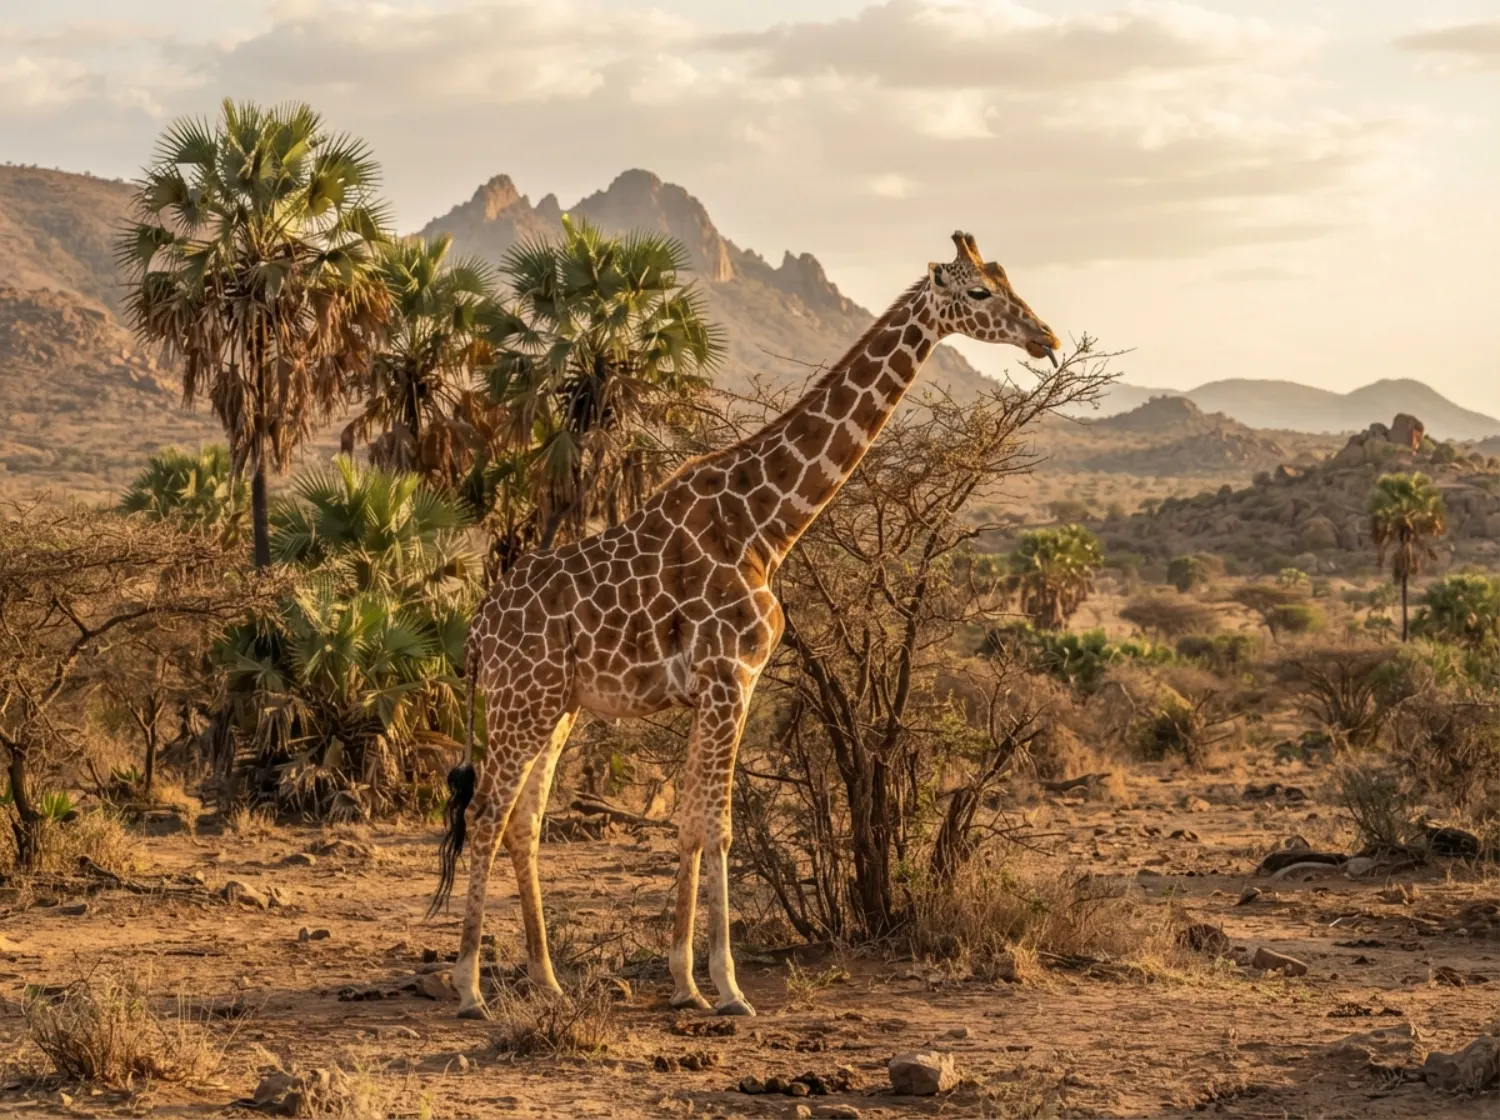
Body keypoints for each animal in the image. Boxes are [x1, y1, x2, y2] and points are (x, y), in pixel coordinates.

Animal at [429, 231, 1060, 1018]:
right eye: (979, 292)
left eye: (1007, 280)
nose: (1047, 338)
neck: (765, 525)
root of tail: (478, 631)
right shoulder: (730, 678)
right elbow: (723, 827)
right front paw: (728, 987)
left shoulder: (725, 686)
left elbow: (693, 822)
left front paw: (684, 983)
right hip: (524, 700)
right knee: (485, 815)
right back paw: (468, 988)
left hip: (559, 705)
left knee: (523, 822)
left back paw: (547, 980)